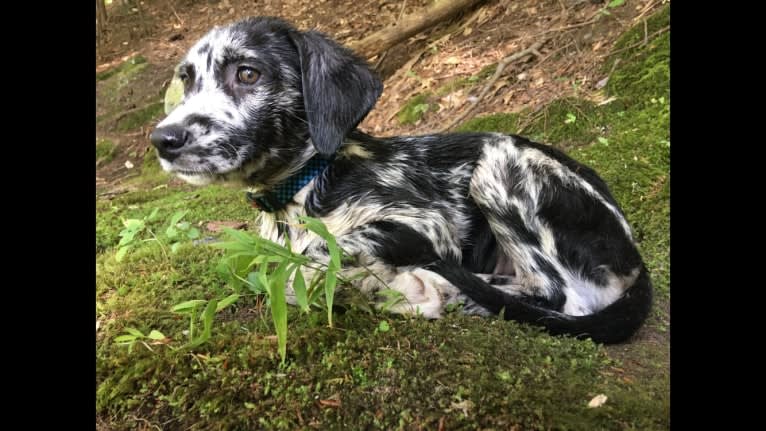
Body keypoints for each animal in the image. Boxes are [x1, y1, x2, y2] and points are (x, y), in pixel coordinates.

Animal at [152, 16, 656, 344]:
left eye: (247, 73)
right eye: (187, 80)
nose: (162, 139)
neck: (304, 189)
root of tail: (632, 254)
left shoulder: (427, 224)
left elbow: (314, 256)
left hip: (498, 166)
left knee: (559, 298)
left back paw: (445, 290)